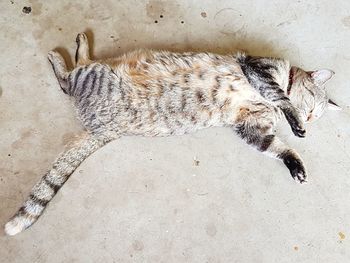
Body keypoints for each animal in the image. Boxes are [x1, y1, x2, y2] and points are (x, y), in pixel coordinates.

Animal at [4, 33, 340, 237]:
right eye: (313, 107)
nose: (310, 121)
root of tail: (103, 129)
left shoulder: (251, 127)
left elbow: (276, 147)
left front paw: (296, 164)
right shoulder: (258, 69)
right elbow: (280, 97)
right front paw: (294, 121)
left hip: (93, 77)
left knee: (72, 75)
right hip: (95, 75)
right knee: (68, 76)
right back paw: (66, 52)